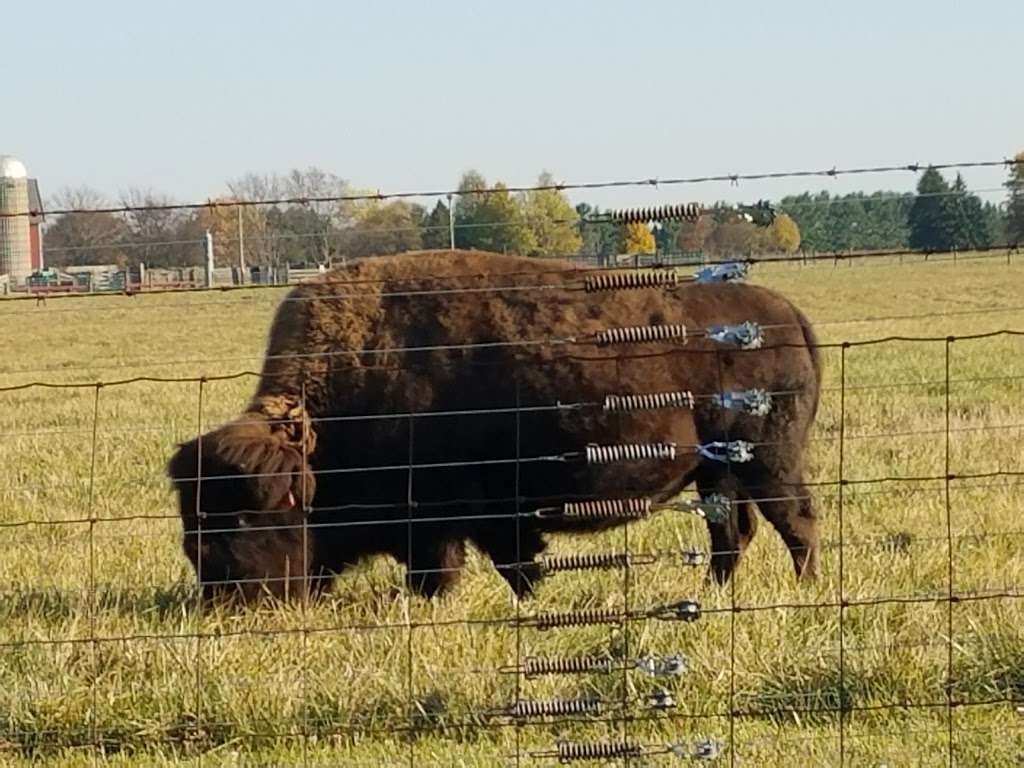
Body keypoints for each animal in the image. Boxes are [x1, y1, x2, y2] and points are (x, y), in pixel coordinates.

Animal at [169, 249, 823, 606]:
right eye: (194, 520)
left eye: (246, 517)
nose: (226, 602)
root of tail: (785, 312)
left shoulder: (463, 516)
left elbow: (481, 567)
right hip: (719, 472)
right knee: (732, 532)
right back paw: (716, 593)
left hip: (768, 461)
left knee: (795, 522)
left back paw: (805, 589)